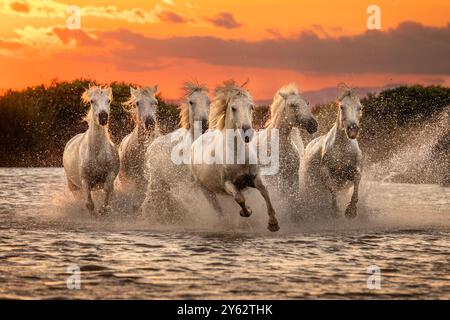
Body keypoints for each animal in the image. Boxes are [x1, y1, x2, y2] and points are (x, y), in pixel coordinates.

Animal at [63, 85, 120, 215]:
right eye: (91, 101)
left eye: (108, 100)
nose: (103, 117)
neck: (96, 152)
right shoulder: (85, 181)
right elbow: (89, 204)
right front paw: (95, 214)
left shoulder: (110, 175)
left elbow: (108, 190)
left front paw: (103, 210)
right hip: (73, 186)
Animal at [188, 79, 280, 230]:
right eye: (233, 108)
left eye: (251, 107)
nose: (247, 133)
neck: (238, 154)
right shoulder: (228, 184)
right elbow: (240, 198)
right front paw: (247, 211)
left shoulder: (254, 177)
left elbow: (264, 190)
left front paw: (273, 223)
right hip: (206, 190)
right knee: (218, 209)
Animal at [300, 82, 364, 219]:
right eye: (342, 107)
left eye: (360, 107)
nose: (352, 130)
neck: (342, 149)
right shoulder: (325, 173)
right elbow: (333, 190)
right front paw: (336, 212)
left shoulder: (354, 171)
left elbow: (356, 184)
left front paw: (351, 211)